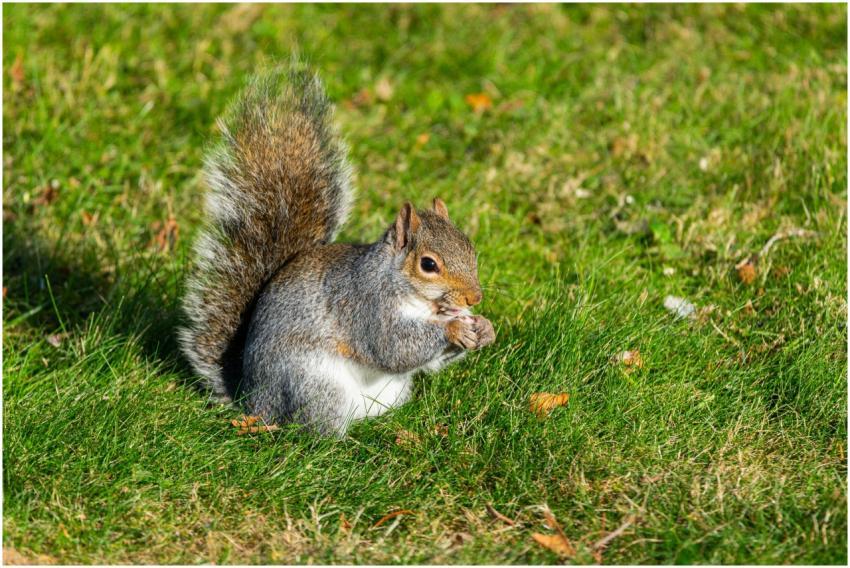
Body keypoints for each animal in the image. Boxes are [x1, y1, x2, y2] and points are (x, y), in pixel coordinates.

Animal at [178, 66, 496, 435]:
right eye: (428, 265)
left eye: (469, 247)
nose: (474, 298)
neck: (421, 302)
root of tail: (255, 402)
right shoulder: (365, 306)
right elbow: (393, 347)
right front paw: (454, 330)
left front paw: (484, 328)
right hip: (315, 386)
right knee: (313, 430)